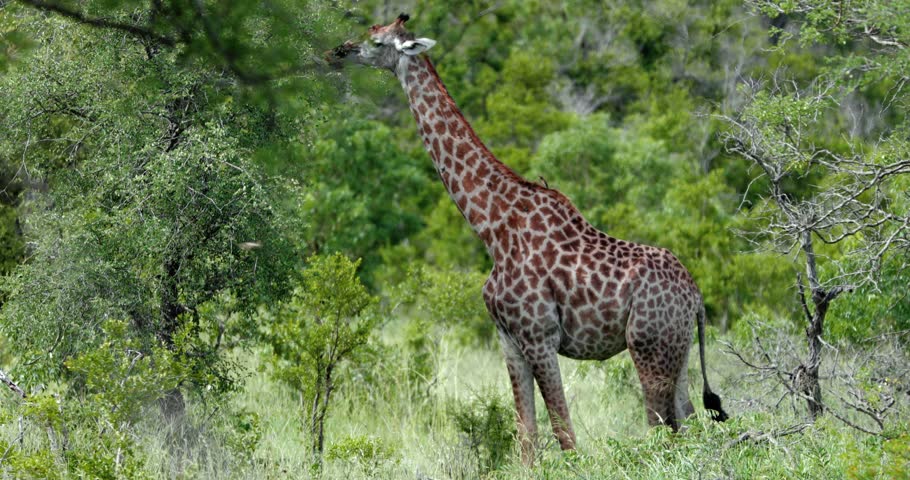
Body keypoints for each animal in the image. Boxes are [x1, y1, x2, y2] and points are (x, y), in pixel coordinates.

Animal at [329, 14, 728, 463]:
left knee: (662, 428)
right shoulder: (509, 340)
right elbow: (527, 436)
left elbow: (565, 434)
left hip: (647, 346)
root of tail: (697, 298)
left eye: (377, 41)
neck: (492, 228)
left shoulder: (539, 337)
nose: (339, 51)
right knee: (689, 422)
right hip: (676, 351)